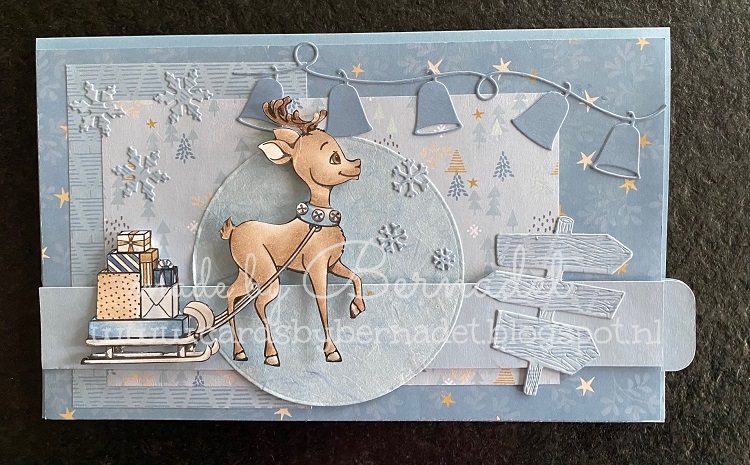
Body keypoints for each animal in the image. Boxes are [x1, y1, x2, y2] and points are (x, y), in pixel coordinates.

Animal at [220, 96, 365, 367]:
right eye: (334, 158)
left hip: (247, 271)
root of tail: (232, 232)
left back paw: (240, 351)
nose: (358, 164)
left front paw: (356, 307)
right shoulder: (317, 267)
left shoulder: (333, 263)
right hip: (266, 272)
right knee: (258, 304)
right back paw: (271, 354)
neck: (317, 224)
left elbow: (356, 277)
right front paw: (331, 351)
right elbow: (322, 308)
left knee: (232, 295)